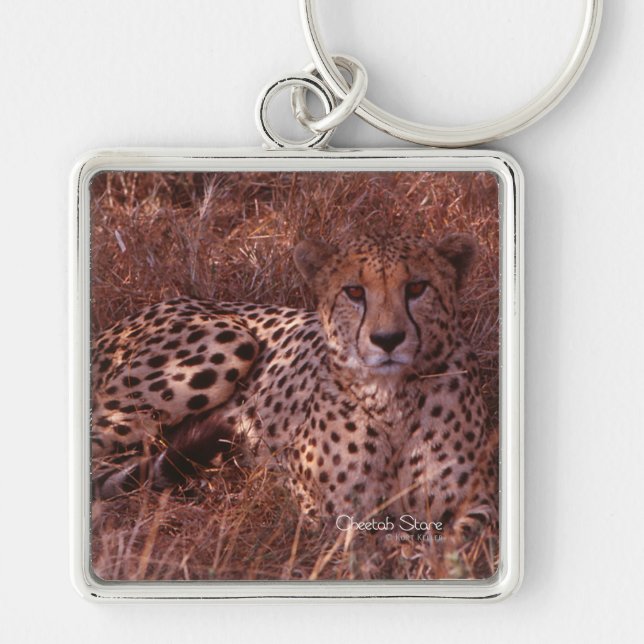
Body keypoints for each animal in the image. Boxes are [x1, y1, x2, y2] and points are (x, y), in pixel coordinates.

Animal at [91, 231, 497, 532]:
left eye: (416, 288)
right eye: (354, 291)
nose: (387, 339)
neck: (392, 399)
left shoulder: (478, 504)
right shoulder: (327, 510)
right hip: (228, 343)